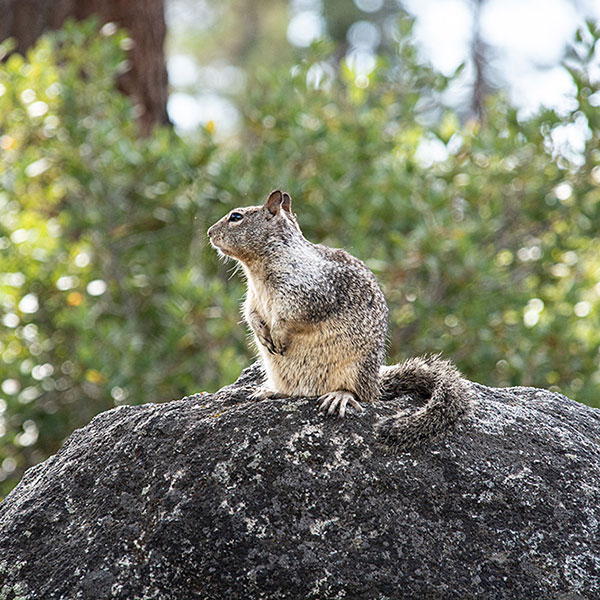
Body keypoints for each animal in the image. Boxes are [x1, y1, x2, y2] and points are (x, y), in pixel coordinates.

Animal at [209, 190, 472, 448]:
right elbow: (250, 313)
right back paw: (270, 392)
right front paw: (262, 333)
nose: (210, 232)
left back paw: (340, 396)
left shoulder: (307, 293)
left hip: (355, 369)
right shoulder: (253, 297)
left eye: (236, 217)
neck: (257, 269)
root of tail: (375, 383)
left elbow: (290, 316)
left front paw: (278, 334)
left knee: (360, 396)